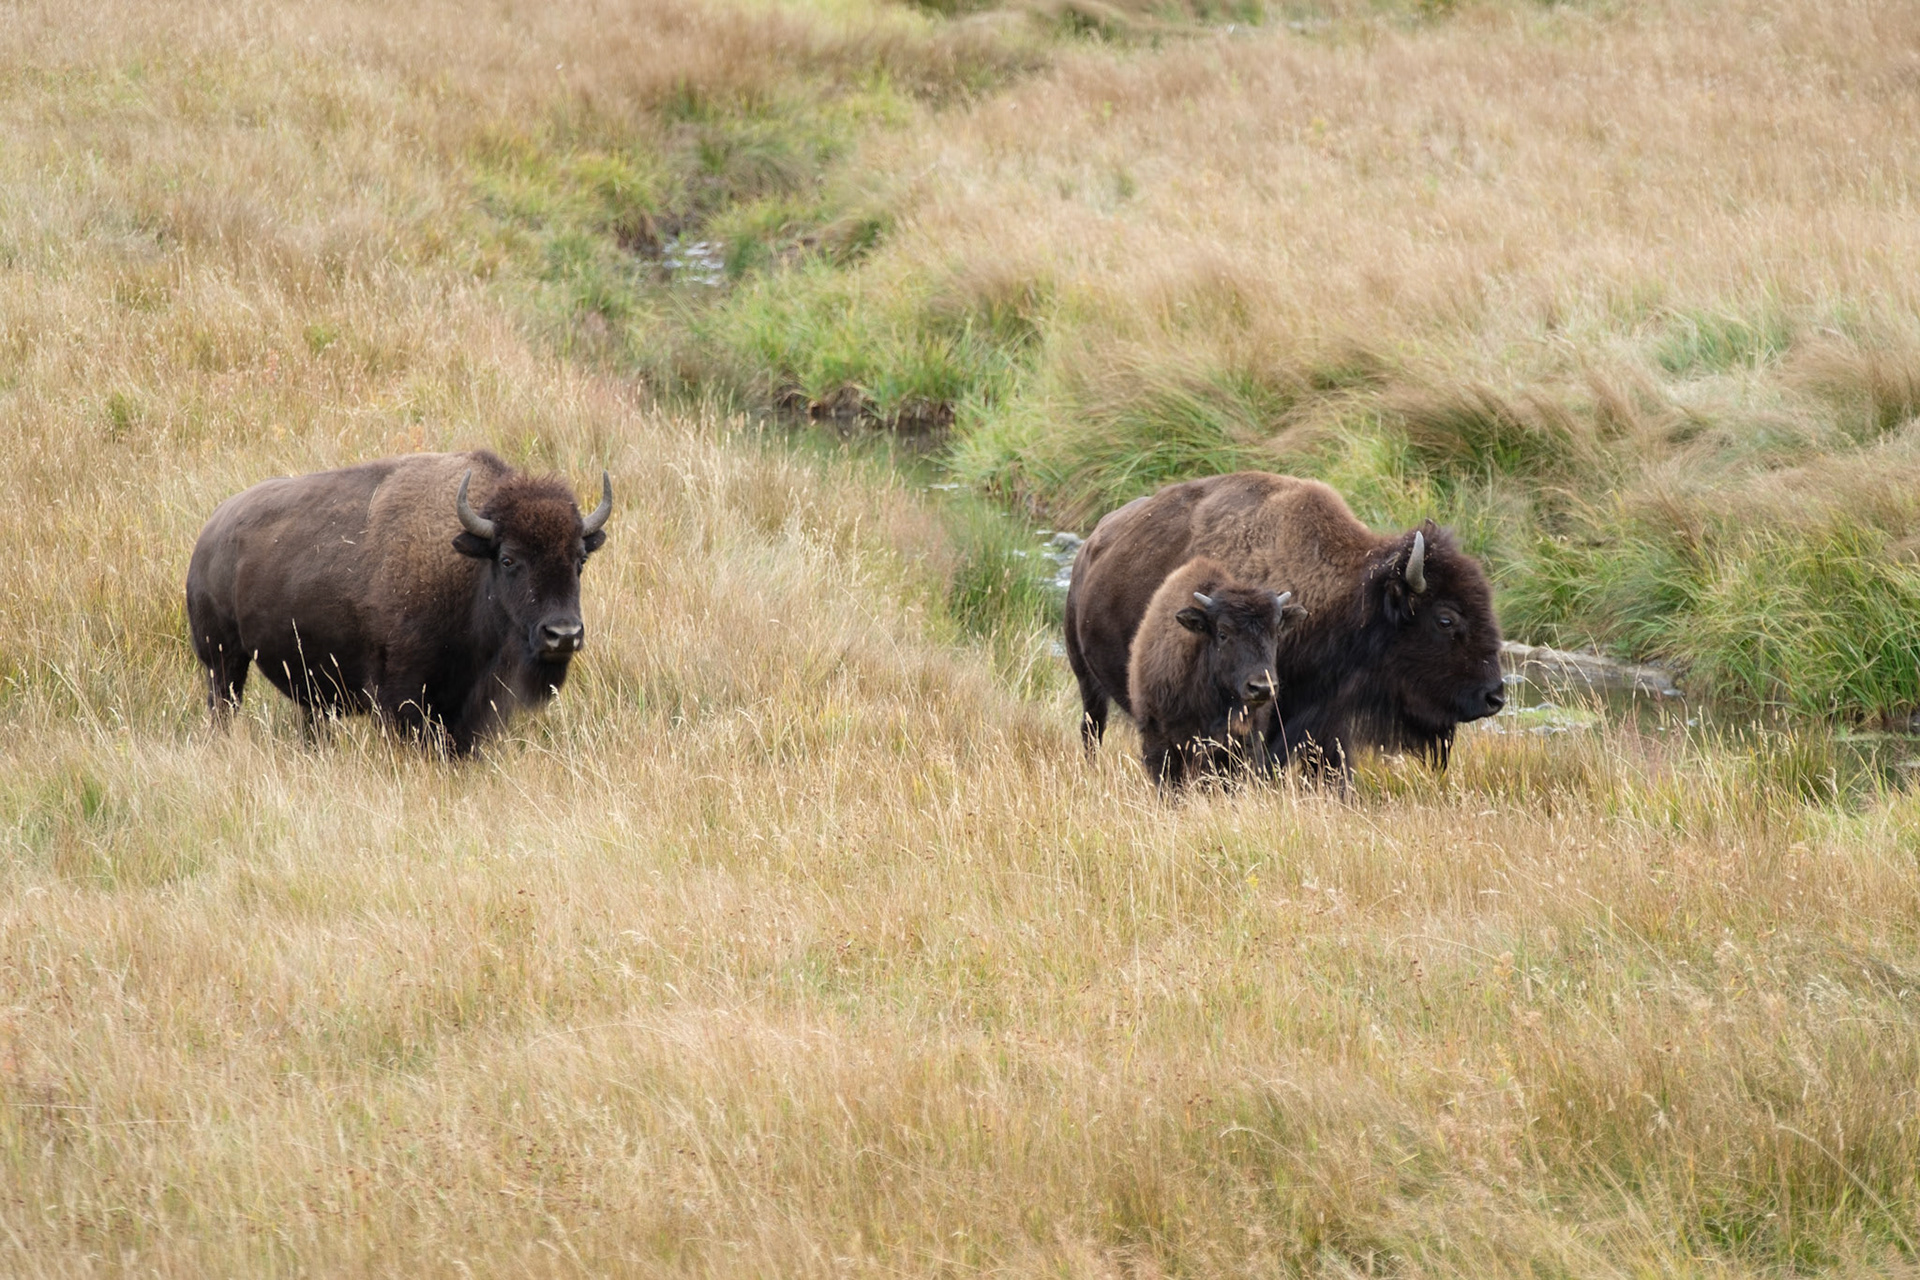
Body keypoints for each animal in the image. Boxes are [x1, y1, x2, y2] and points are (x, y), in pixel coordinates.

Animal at [185, 450, 612, 754]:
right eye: (508, 559)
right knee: (224, 703)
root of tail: (211, 531)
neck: (466, 568)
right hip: (222, 661)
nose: (563, 635)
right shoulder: (403, 697)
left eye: (580, 560)